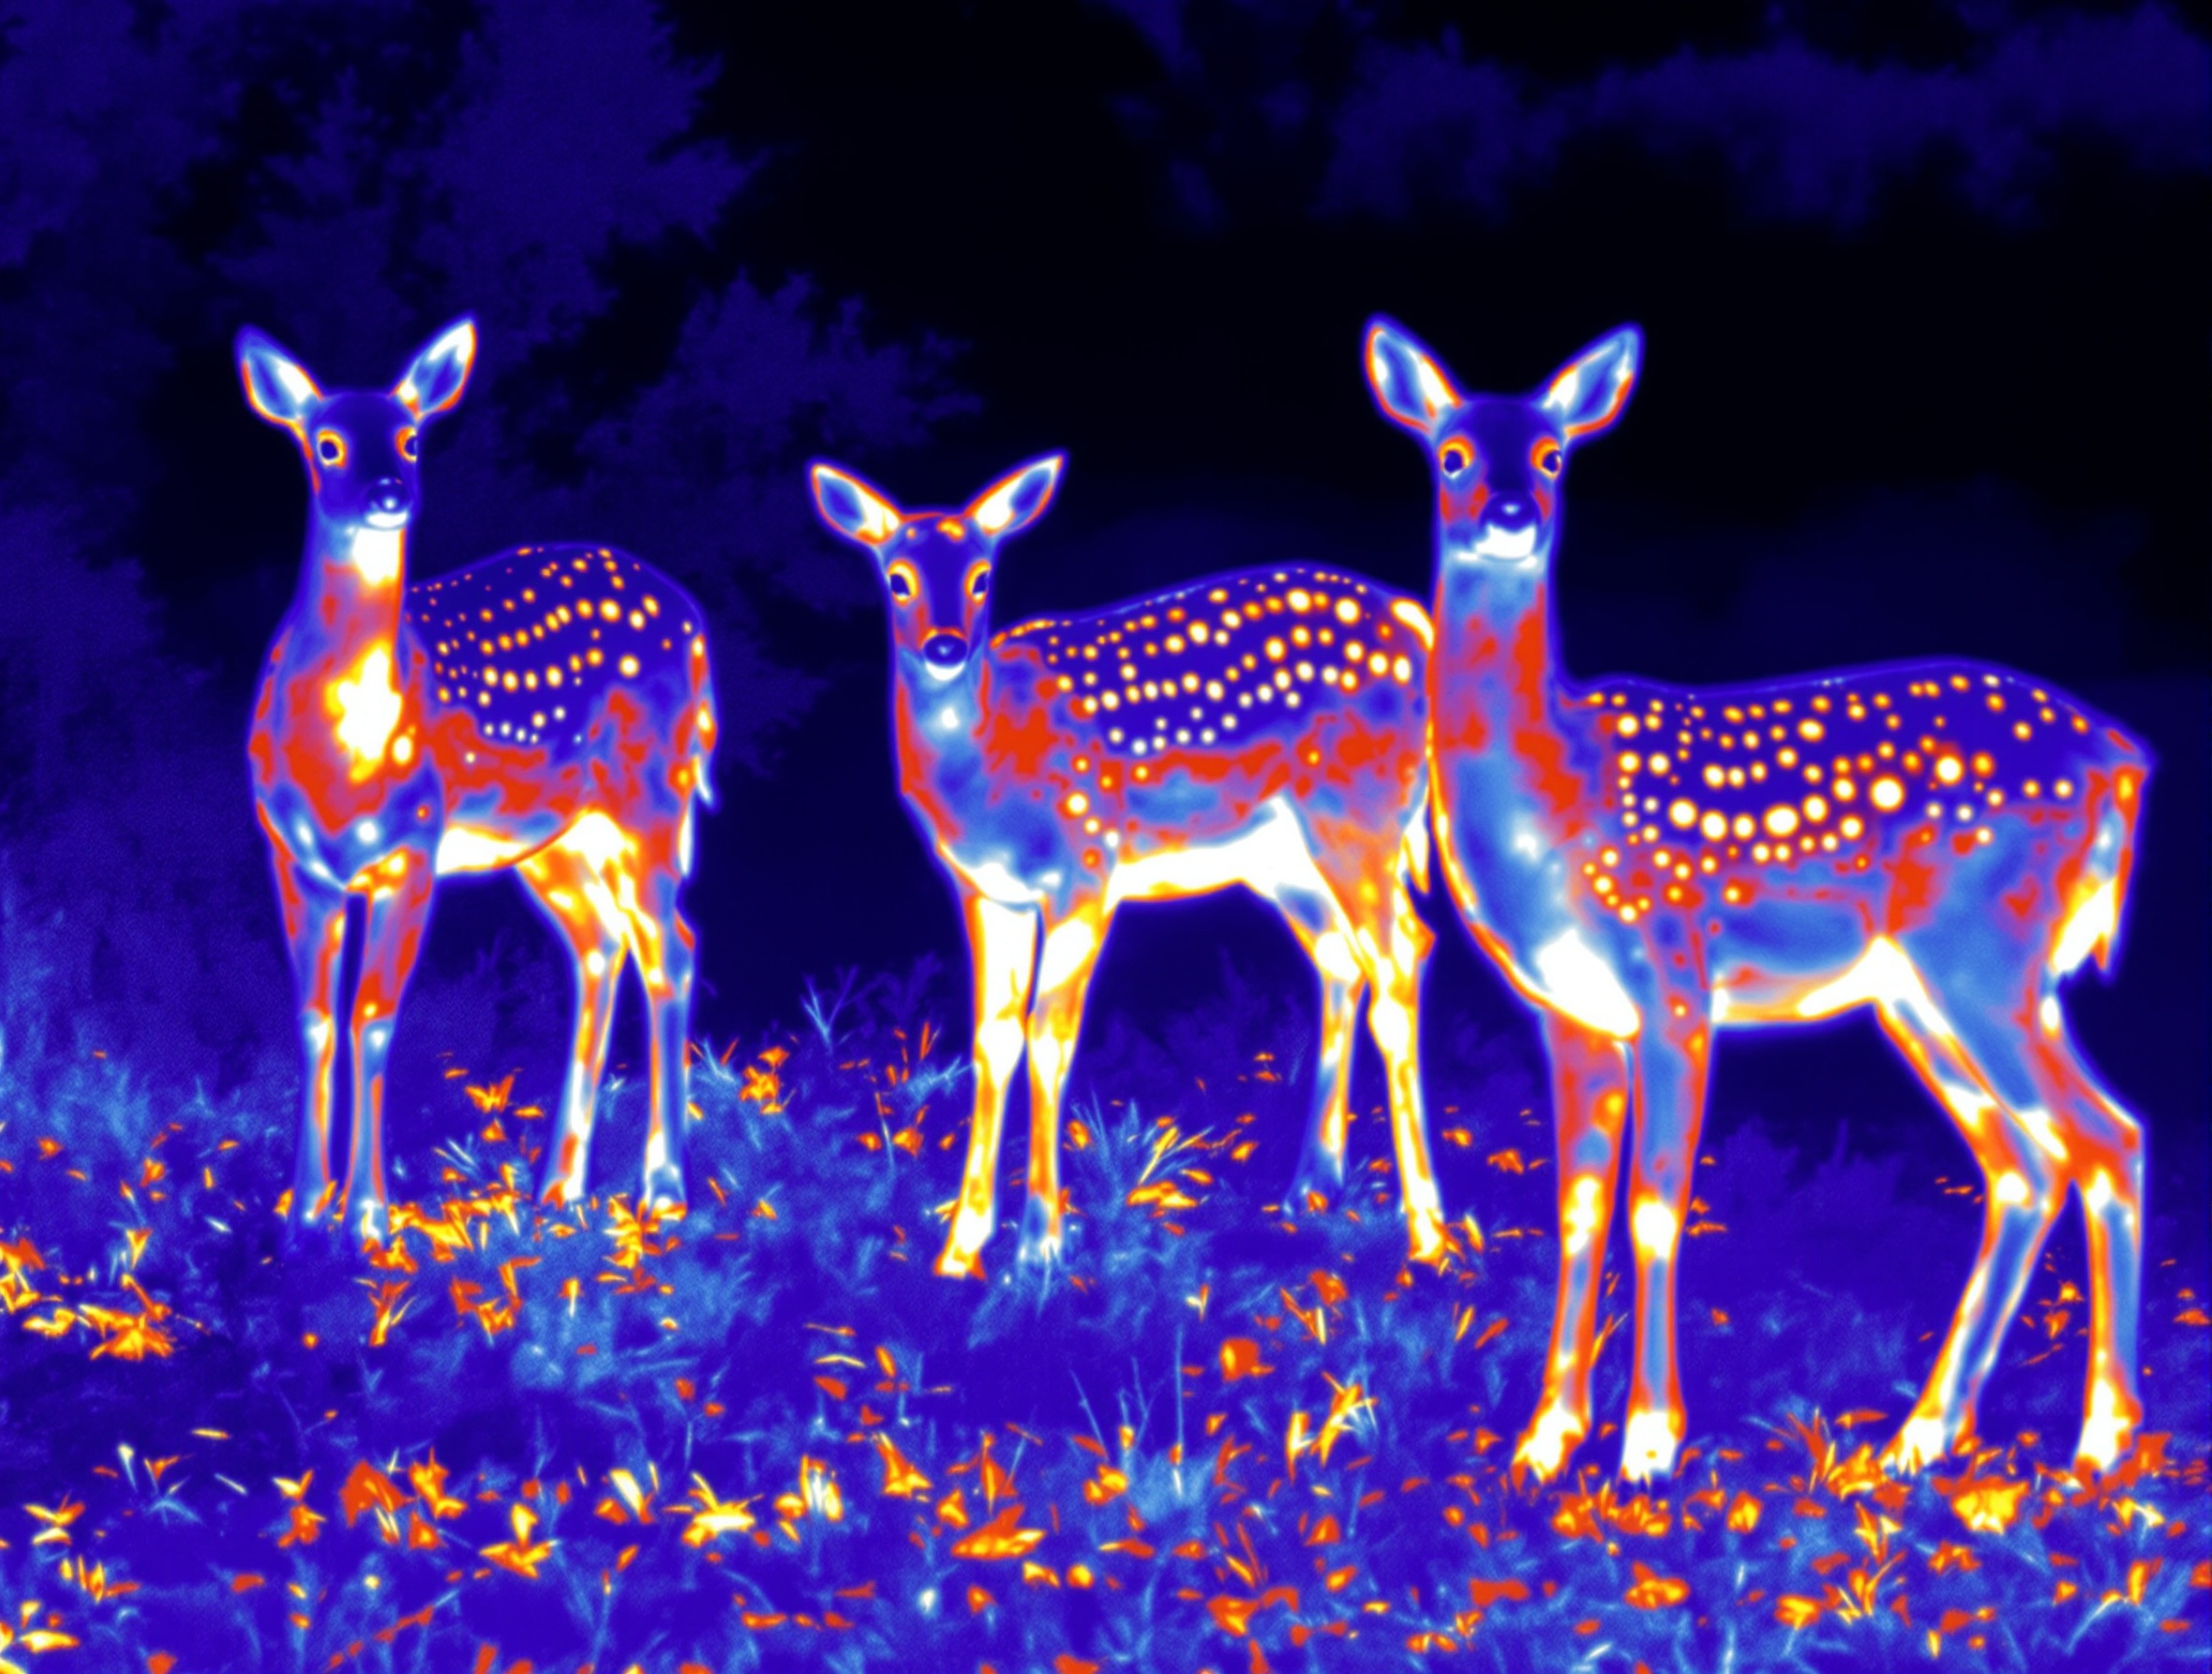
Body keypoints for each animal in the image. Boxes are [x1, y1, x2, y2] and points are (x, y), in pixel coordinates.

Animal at [238, 318, 716, 1246]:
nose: (388, 492)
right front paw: (300, 1216)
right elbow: (312, 1018)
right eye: (326, 442)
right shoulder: (293, 857)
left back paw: (663, 1191)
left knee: (671, 947)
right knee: (600, 943)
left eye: (410, 437)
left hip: (650, 798)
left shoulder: (414, 847)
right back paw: (556, 1189)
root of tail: (695, 622)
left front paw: (366, 1221)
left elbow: (372, 1016)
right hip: (553, 837)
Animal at [810, 455, 1451, 1277]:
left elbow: (1050, 1037)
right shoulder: (988, 890)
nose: (946, 646)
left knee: (1402, 954)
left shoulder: (1085, 867)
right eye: (897, 577)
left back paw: (1429, 1235)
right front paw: (961, 1247)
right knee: (1345, 959)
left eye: (983, 576)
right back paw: (1311, 1191)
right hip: (1283, 856)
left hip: (1359, 817)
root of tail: (1414, 619)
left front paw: (1039, 1252)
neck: (986, 763)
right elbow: (994, 1038)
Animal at [1364, 318, 2150, 1483]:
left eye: (1552, 454)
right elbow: (1577, 1205)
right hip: (1924, 990)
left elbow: (1654, 1205)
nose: (1510, 514)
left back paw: (2097, 1442)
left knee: (2107, 1139)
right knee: (2025, 1163)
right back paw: (1922, 1436)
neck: (1556, 799)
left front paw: (1649, 1443)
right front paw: (1544, 1440)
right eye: (1452, 453)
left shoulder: (1672, 976)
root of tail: (2122, 762)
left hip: (1986, 959)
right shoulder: (1568, 1011)